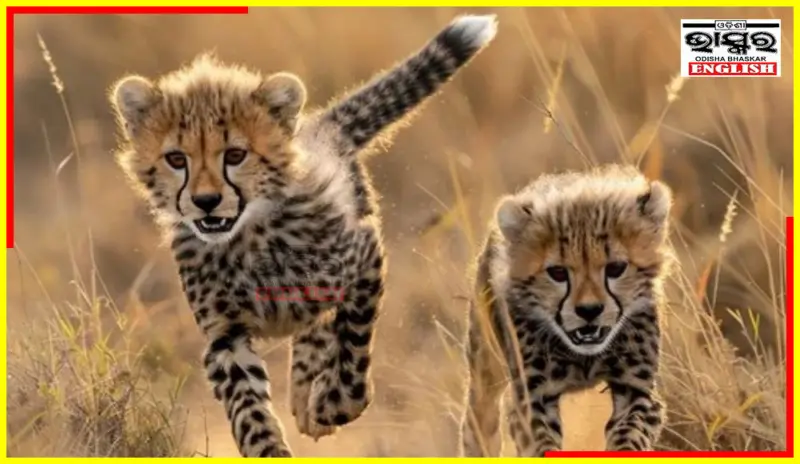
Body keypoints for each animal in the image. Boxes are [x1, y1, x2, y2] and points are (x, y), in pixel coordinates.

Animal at [108, 14, 497, 457]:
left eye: (235, 155)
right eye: (176, 159)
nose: (206, 202)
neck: (248, 237)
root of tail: (320, 127)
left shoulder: (363, 257)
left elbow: (351, 347)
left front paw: (332, 403)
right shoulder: (225, 337)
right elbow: (248, 409)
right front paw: (268, 448)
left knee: (321, 326)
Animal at [459, 164, 672, 457]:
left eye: (616, 268)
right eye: (558, 273)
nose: (589, 310)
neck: (584, 357)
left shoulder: (636, 389)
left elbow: (629, 434)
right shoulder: (532, 398)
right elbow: (540, 443)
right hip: (485, 367)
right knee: (480, 418)